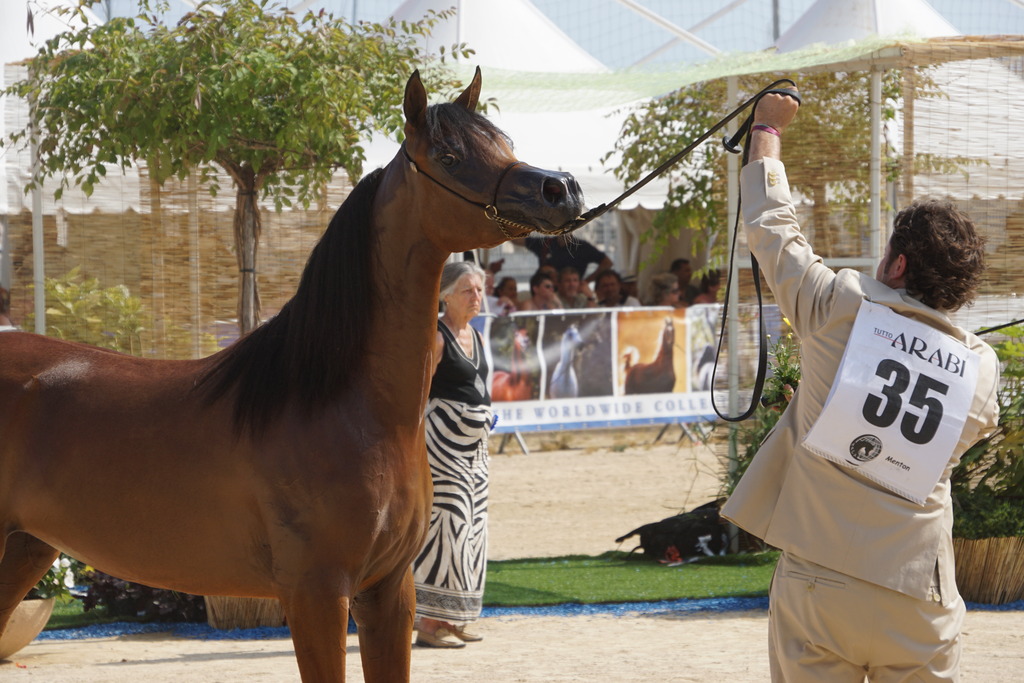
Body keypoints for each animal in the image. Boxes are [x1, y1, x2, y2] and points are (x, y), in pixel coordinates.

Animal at [0, 69, 583, 682]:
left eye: (504, 143)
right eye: (449, 155)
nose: (561, 189)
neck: (344, 406)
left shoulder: (389, 592)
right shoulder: (317, 594)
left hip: (26, 549)